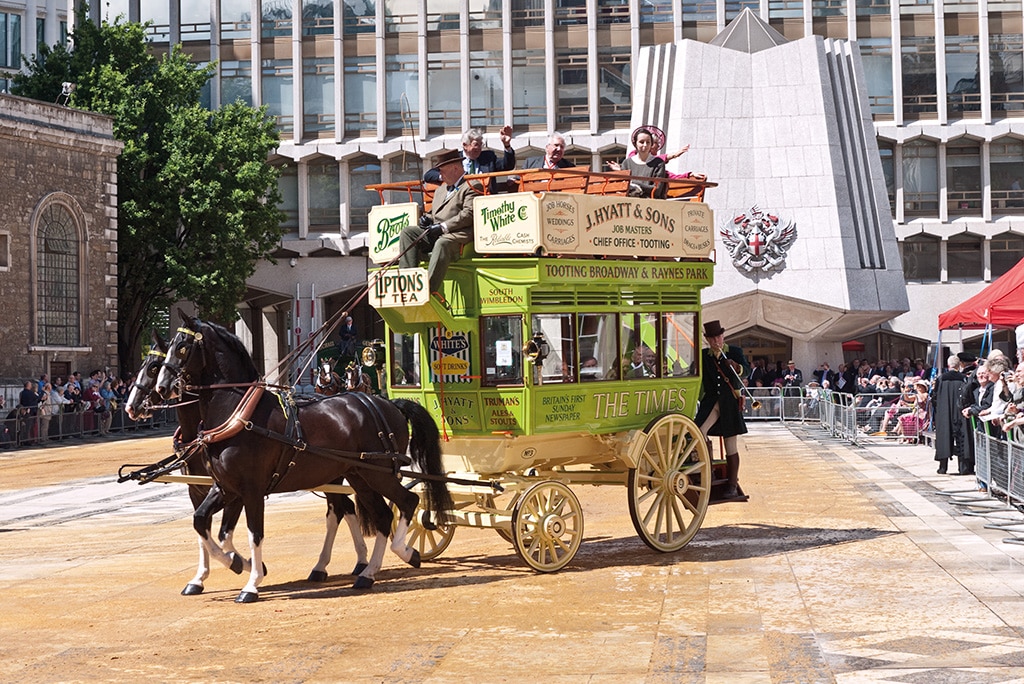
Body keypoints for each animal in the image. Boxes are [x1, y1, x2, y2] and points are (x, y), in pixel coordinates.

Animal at [155, 317, 452, 602]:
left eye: (182, 347)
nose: (162, 387)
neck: (239, 415)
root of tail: (388, 404)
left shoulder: (251, 491)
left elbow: (254, 534)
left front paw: (251, 583)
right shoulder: (225, 488)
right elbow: (205, 525)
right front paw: (236, 563)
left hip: (378, 473)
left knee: (407, 502)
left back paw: (403, 551)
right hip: (359, 476)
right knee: (382, 515)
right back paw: (368, 572)